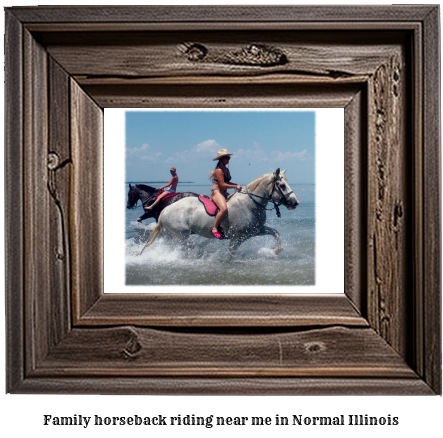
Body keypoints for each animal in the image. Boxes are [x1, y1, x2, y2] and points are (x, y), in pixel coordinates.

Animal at [141, 169, 302, 256]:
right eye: (282, 185)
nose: (295, 202)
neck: (250, 204)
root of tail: (165, 209)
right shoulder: (237, 238)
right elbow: (230, 255)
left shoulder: (256, 230)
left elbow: (275, 232)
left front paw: (276, 250)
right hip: (179, 236)